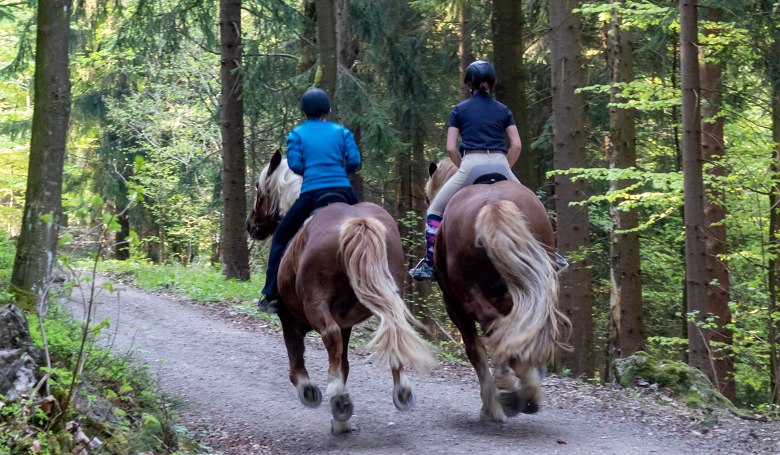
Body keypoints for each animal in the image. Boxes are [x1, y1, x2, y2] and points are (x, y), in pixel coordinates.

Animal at [247, 152, 436, 434]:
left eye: (260, 191)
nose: (250, 225)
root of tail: (359, 222)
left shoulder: (288, 317)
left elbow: (296, 357)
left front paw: (311, 392)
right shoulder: (346, 322)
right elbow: (343, 363)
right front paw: (341, 420)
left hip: (315, 302)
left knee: (330, 334)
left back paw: (337, 398)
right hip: (387, 293)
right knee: (393, 328)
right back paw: (401, 390)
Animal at [426, 160, 568, 424]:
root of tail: (493, 204)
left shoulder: (453, 305)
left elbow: (475, 350)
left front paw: (490, 406)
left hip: (466, 294)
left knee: (492, 326)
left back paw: (511, 391)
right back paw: (527, 389)